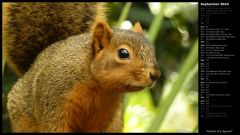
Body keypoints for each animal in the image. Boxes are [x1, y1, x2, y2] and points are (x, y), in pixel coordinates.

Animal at [2, 2, 160, 133]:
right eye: (123, 53)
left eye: (152, 50)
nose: (155, 75)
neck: (98, 87)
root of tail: (31, 66)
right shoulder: (55, 101)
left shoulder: (106, 114)